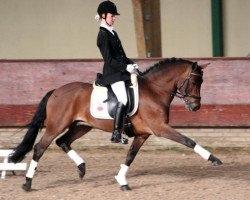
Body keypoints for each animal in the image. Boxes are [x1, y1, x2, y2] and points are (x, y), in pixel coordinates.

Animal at [9, 57, 223, 191]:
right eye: (194, 82)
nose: (195, 106)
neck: (154, 91)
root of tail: (56, 91)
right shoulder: (160, 128)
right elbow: (188, 141)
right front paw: (214, 159)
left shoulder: (143, 134)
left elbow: (130, 156)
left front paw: (122, 181)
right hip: (57, 125)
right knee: (40, 147)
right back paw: (27, 183)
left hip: (82, 125)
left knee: (63, 142)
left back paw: (82, 168)